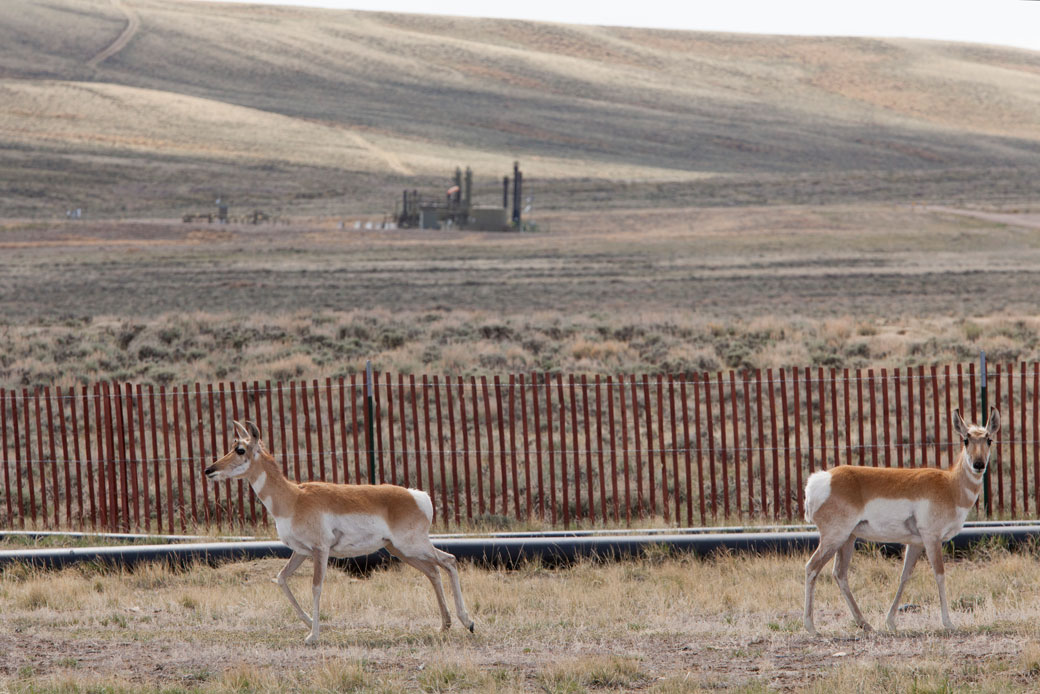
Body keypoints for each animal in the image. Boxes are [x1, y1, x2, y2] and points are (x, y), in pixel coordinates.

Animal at [201, 424, 476, 645]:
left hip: (413, 546)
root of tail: (418, 495)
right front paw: (308, 622)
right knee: (434, 572)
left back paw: (468, 622)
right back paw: (445, 625)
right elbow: (281, 578)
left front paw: (313, 635)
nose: (209, 470)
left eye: (240, 449)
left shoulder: (320, 551)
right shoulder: (301, 552)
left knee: (449, 561)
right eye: (232, 445)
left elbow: (316, 586)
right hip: (401, 551)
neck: (293, 497)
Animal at [802, 407, 998, 636]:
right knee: (812, 567)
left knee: (839, 574)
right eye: (966, 439)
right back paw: (811, 627)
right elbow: (940, 574)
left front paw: (890, 622)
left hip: (847, 540)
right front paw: (948, 623)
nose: (978, 465)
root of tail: (822, 479)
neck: (950, 486)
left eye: (989, 439)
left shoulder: (915, 544)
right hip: (834, 538)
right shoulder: (932, 539)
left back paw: (865, 624)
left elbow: (905, 576)